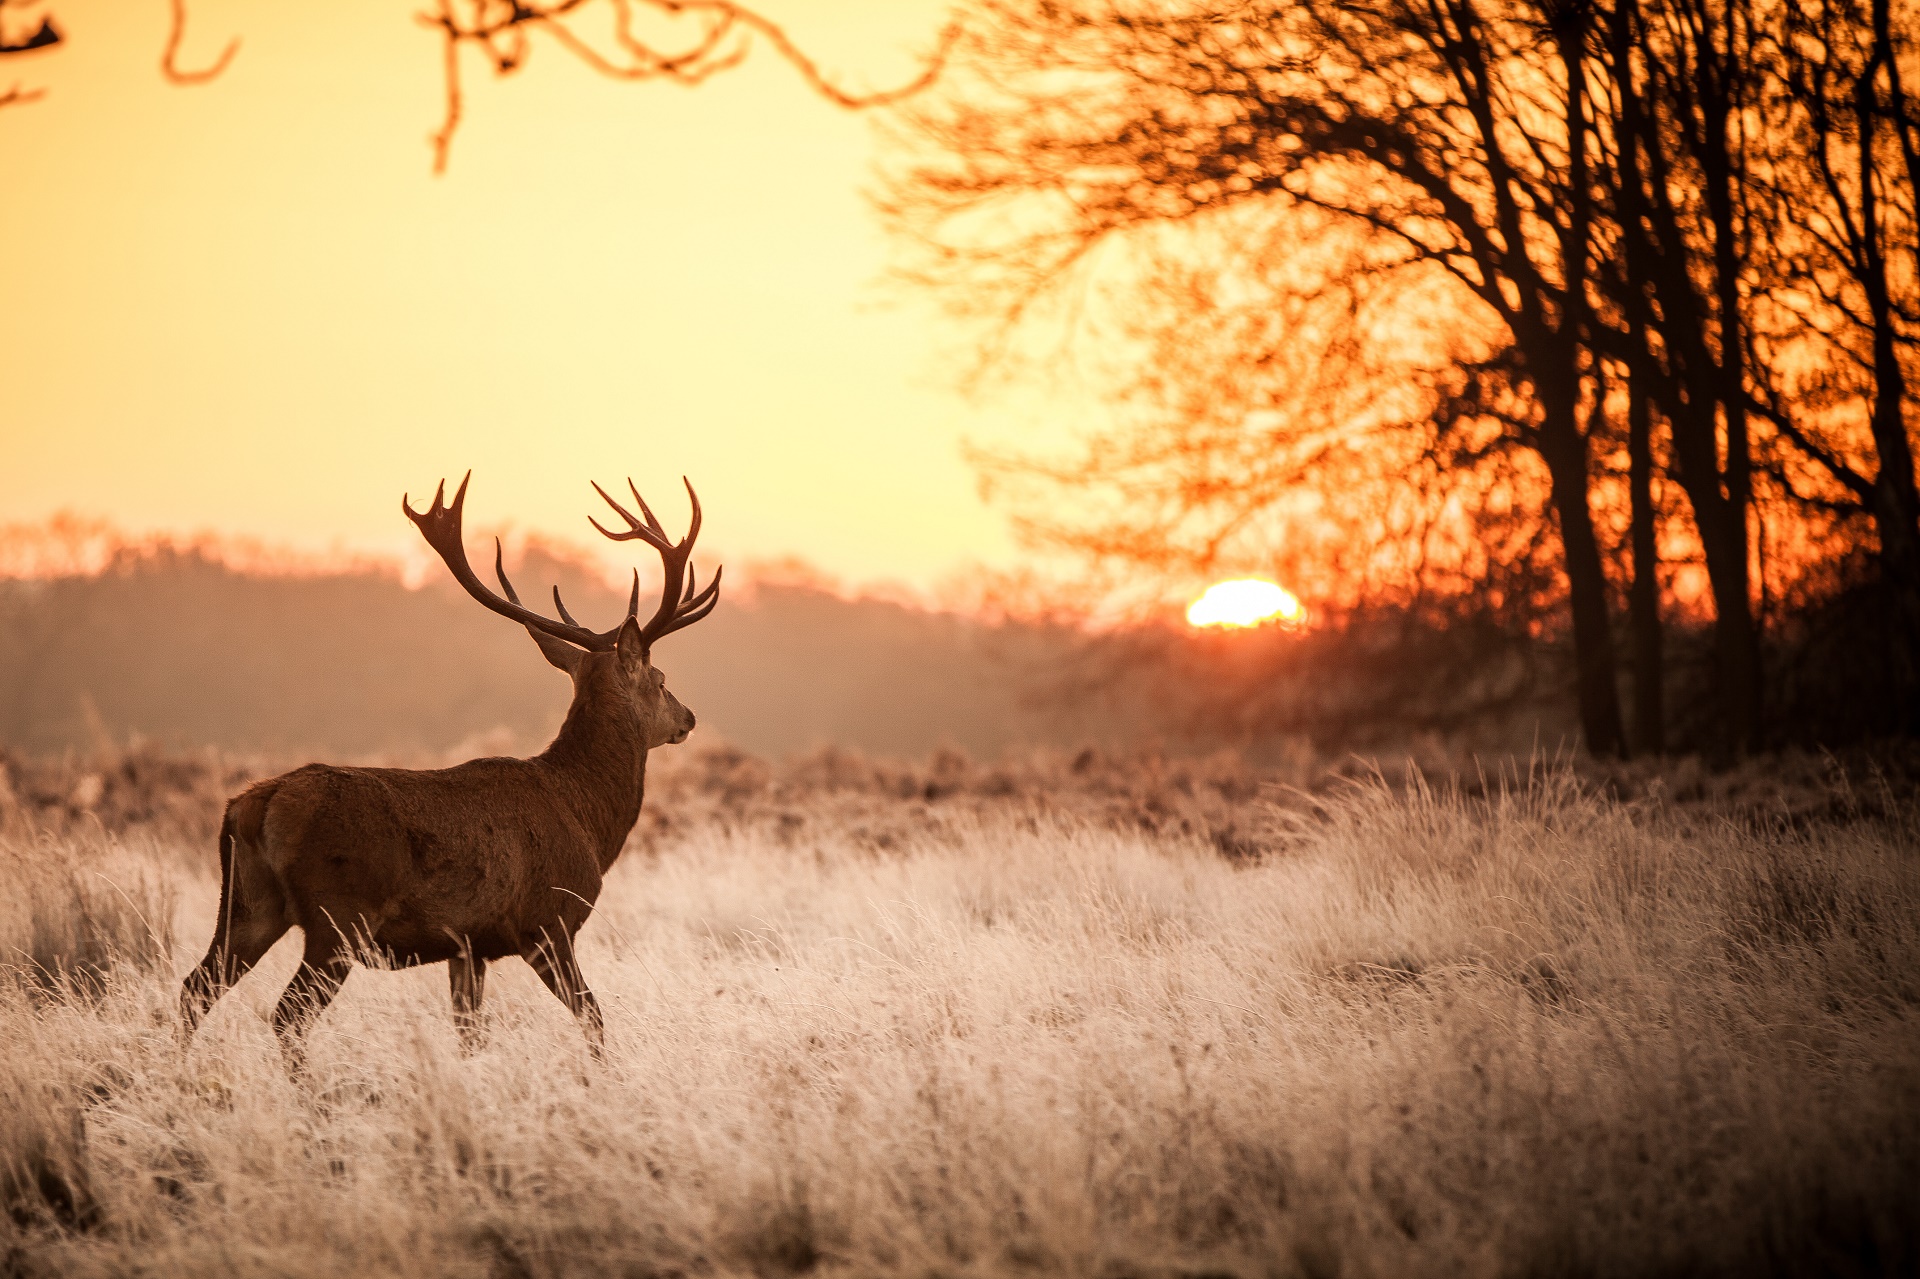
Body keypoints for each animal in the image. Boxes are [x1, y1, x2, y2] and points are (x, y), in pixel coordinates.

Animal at [178, 470, 721, 1052]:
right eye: (660, 679)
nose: (688, 717)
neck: (587, 817)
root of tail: (253, 806)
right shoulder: (547, 923)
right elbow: (594, 1017)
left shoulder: (468, 945)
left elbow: (469, 1034)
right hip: (339, 917)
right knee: (286, 1014)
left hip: (246, 906)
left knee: (194, 989)